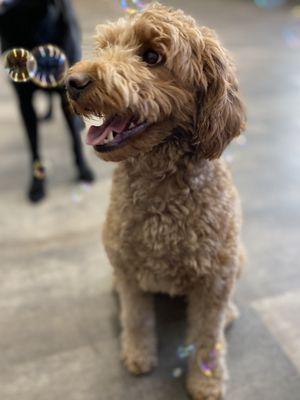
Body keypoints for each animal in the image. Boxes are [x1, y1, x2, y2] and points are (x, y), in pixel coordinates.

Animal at [0, 0, 94, 200]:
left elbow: (74, 140)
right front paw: (37, 184)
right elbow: (34, 145)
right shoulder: (24, 102)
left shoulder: (65, 90)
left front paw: (83, 170)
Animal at [65, 3, 246, 400]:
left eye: (152, 57)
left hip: (237, 259)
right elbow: (136, 318)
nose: (73, 81)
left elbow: (207, 335)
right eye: (105, 46)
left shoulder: (215, 278)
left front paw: (207, 381)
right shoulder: (129, 268)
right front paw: (138, 356)